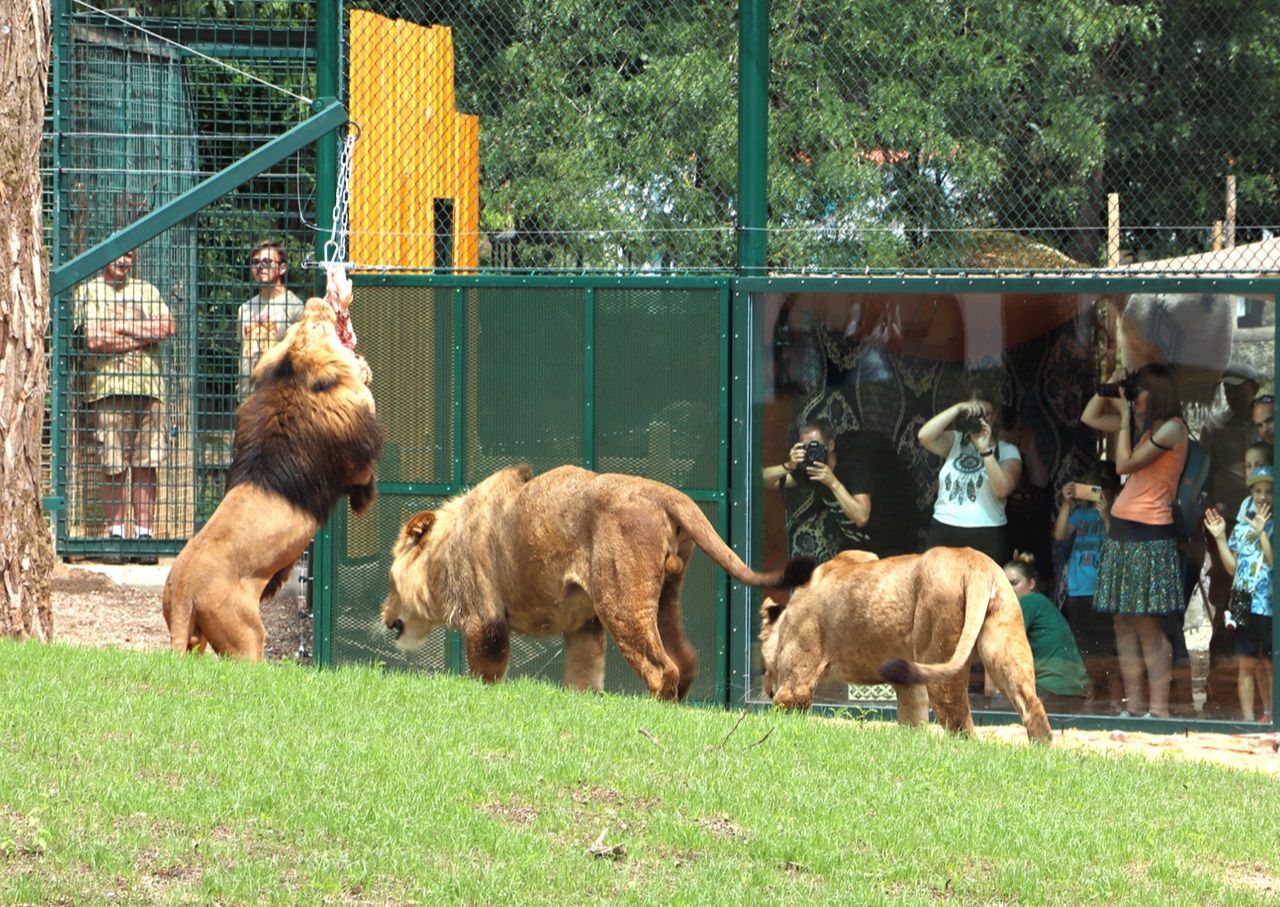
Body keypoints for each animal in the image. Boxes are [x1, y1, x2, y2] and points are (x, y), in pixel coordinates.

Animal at [162, 268, 378, 660]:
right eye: (315, 326)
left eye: (298, 324)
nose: (317, 300)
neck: (293, 385)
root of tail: (183, 590)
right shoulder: (354, 457)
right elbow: (364, 476)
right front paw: (364, 499)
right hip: (246, 636)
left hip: (193, 637)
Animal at [378, 468, 814, 701]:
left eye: (391, 583)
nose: (384, 616)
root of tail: (663, 491)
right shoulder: (583, 626)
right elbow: (583, 676)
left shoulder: (485, 622)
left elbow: (488, 674)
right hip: (664, 597)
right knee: (686, 661)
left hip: (621, 603)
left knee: (663, 668)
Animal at [757, 544, 1049, 741]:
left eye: (763, 666)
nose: (765, 688)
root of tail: (974, 564)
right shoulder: (908, 685)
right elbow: (913, 719)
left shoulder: (797, 681)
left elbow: (785, 707)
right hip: (1004, 644)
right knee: (1031, 706)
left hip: (938, 643)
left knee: (959, 722)